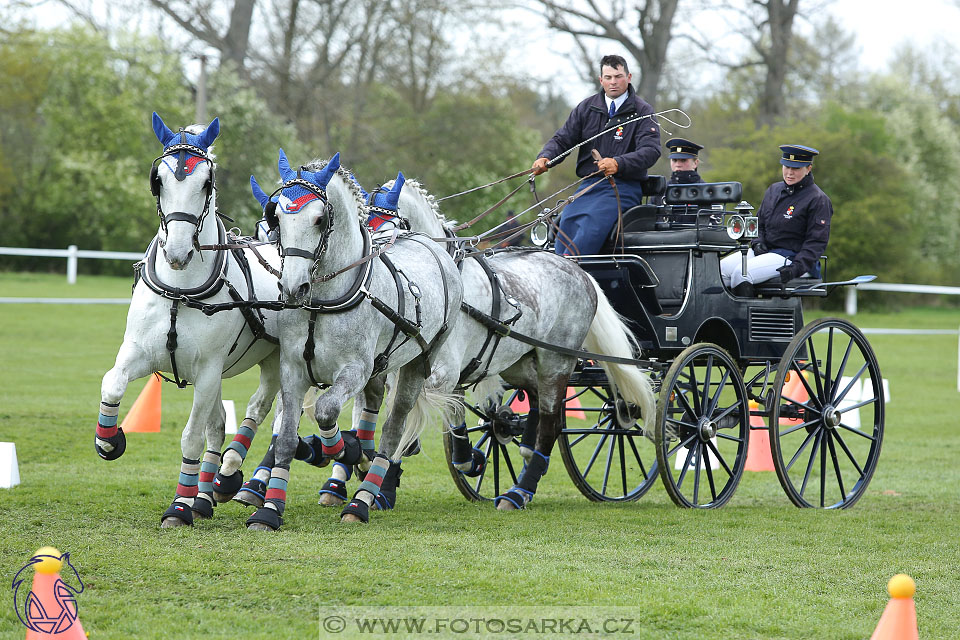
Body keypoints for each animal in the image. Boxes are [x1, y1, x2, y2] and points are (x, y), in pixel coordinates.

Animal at [96, 112, 284, 528]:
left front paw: (179, 507)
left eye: (206, 183)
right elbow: (112, 383)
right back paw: (207, 495)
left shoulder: (208, 370)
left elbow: (192, 436)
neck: (180, 291)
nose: (178, 252)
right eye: (158, 181)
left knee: (265, 412)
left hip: (278, 362)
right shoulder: (140, 352)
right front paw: (110, 440)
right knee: (221, 422)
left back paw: (231, 479)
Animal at [244, 151, 462, 528]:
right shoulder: (293, 370)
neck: (321, 302)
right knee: (373, 407)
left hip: (418, 362)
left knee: (393, 429)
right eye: (277, 219)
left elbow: (326, 410)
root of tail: (429, 244)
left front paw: (348, 452)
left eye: (319, 219)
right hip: (382, 366)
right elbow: (285, 436)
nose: (292, 288)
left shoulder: (355, 370)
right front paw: (269, 509)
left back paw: (362, 499)